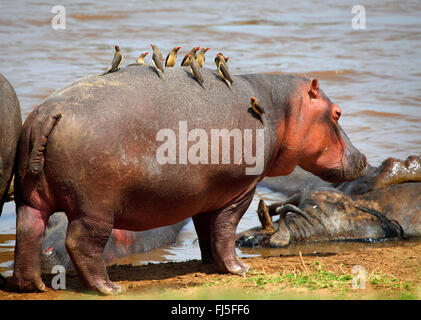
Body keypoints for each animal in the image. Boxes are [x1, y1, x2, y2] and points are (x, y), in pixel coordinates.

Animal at [9, 65, 364, 296]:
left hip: (31, 199)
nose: (362, 158)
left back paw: (32, 286)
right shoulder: (240, 192)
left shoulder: (208, 195)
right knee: (80, 243)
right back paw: (109, 287)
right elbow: (226, 230)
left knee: (28, 233)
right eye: (337, 112)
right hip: (95, 208)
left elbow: (207, 232)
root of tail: (48, 113)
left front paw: (209, 263)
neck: (282, 108)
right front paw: (239, 269)